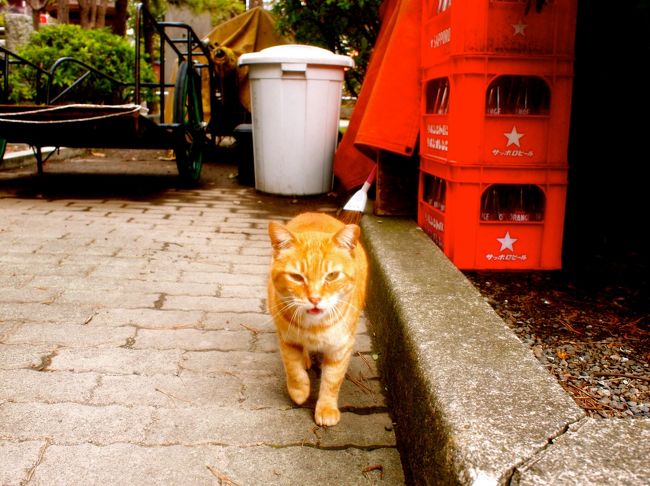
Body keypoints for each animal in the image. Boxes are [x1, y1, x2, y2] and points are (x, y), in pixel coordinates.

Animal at [268, 213, 368, 426]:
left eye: (332, 276)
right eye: (297, 277)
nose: (314, 299)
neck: (314, 327)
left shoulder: (341, 347)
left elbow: (332, 380)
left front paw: (326, 408)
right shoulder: (287, 340)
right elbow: (293, 369)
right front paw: (299, 392)